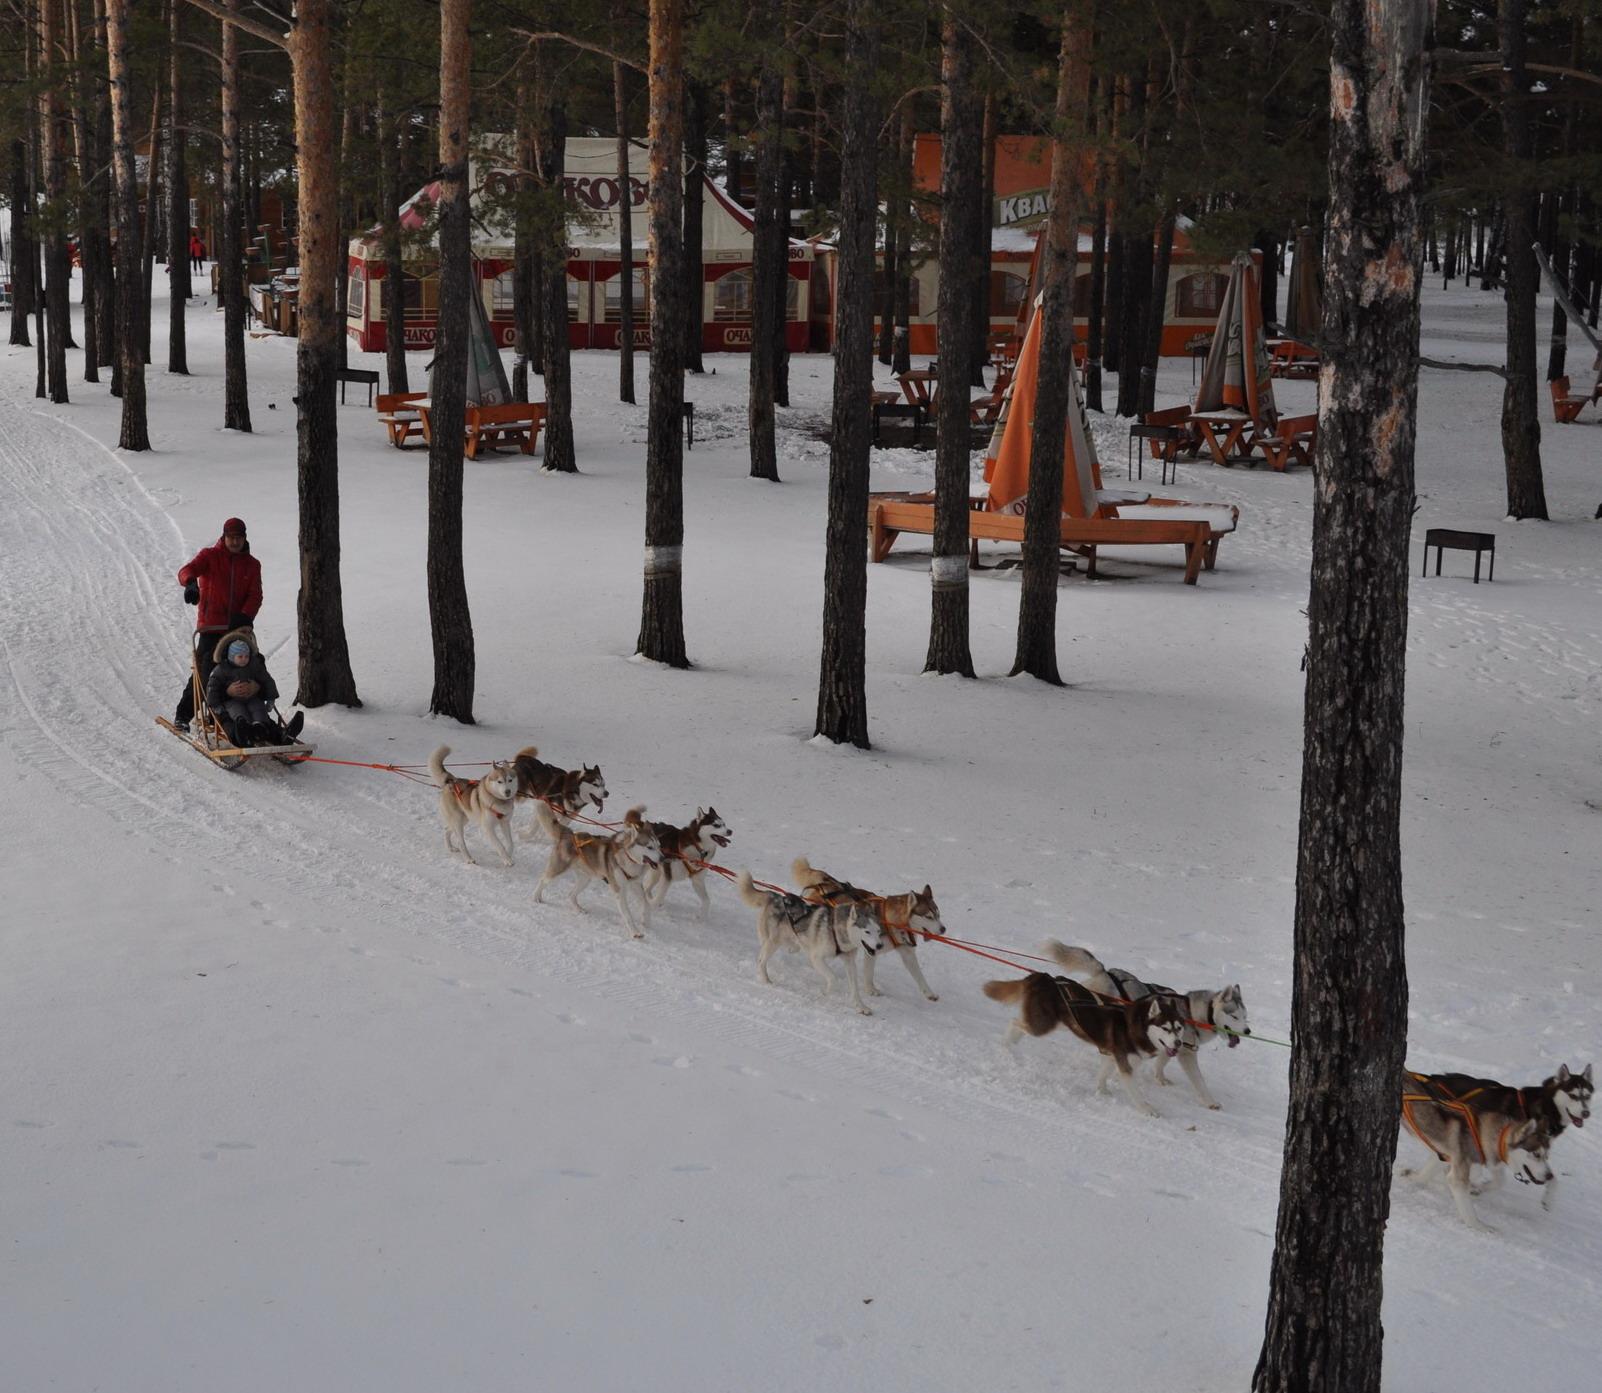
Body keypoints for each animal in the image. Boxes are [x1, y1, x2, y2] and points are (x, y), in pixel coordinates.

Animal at [535, 806, 660, 935]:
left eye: (659, 846)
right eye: (649, 847)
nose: (663, 858)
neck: (628, 857)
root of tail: (569, 834)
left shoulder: (635, 884)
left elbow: (646, 904)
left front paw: (646, 921)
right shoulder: (619, 890)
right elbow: (627, 915)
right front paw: (635, 933)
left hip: (585, 879)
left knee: (570, 895)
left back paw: (579, 909)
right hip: (558, 869)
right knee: (543, 879)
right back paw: (536, 897)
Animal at [736, 871, 890, 1011]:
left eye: (878, 931)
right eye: (867, 931)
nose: (879, 945)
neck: (837, 930)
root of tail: (776, 896)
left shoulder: (849, 962)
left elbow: (854, 988)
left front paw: (860, 1006)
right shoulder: (817, 958)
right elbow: (833, 978)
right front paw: (825, 992)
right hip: (773, 941)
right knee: (761, 960)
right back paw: (765, 979)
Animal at [791, 864, 941, 1005]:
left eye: (938, 915)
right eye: (929, 917)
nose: (943, 929)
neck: (889, 919)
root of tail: (824, 882)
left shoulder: (906, 952)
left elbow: (919, 975)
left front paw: (929, 993)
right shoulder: (871, 950)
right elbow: (869, 973)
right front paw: (870, 990)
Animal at [974, 973, 1191, 1120]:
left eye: (1179, 1028)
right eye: (1165, 1028)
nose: (1178, 1043)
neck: (1135, 1027)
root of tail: (1044, 977)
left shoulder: (1111, 1055)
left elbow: (1102, 1075)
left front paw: (1102, 1091)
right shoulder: (1125, 1065)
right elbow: (1135, 1092)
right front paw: (1147, 1109)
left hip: (1057, 1024)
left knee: (1020, 1025)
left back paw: (1010, 1045)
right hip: (1043, 1025)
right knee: (1014, 1023)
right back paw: (1005, 1046)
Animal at [1050, 941, 1249, 1120]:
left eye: (1245, 1016)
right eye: (1235, 1017)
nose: (1247, 1031)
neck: (1193, 1013)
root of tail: (1105, 971)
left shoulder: (1170, 1043)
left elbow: (1161, 1062)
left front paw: (1160, 1078)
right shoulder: (1186, 1053)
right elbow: (1199, 1081)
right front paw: (1210, 1101)